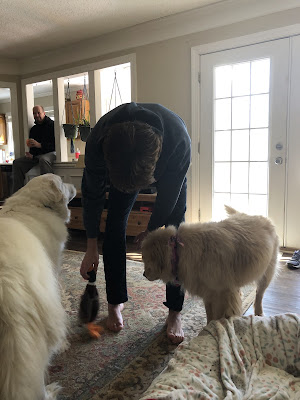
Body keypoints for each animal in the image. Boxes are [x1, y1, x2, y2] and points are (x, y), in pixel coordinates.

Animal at [142, 208, 278, 324]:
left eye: (145, 259)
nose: (143, 275)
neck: (179, 250)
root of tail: (262, 217)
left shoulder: (222, 295)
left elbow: (219, 316)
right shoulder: (208, 293)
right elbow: (210, 315)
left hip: (267, 274)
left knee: (259, 295)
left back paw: (259, 313)